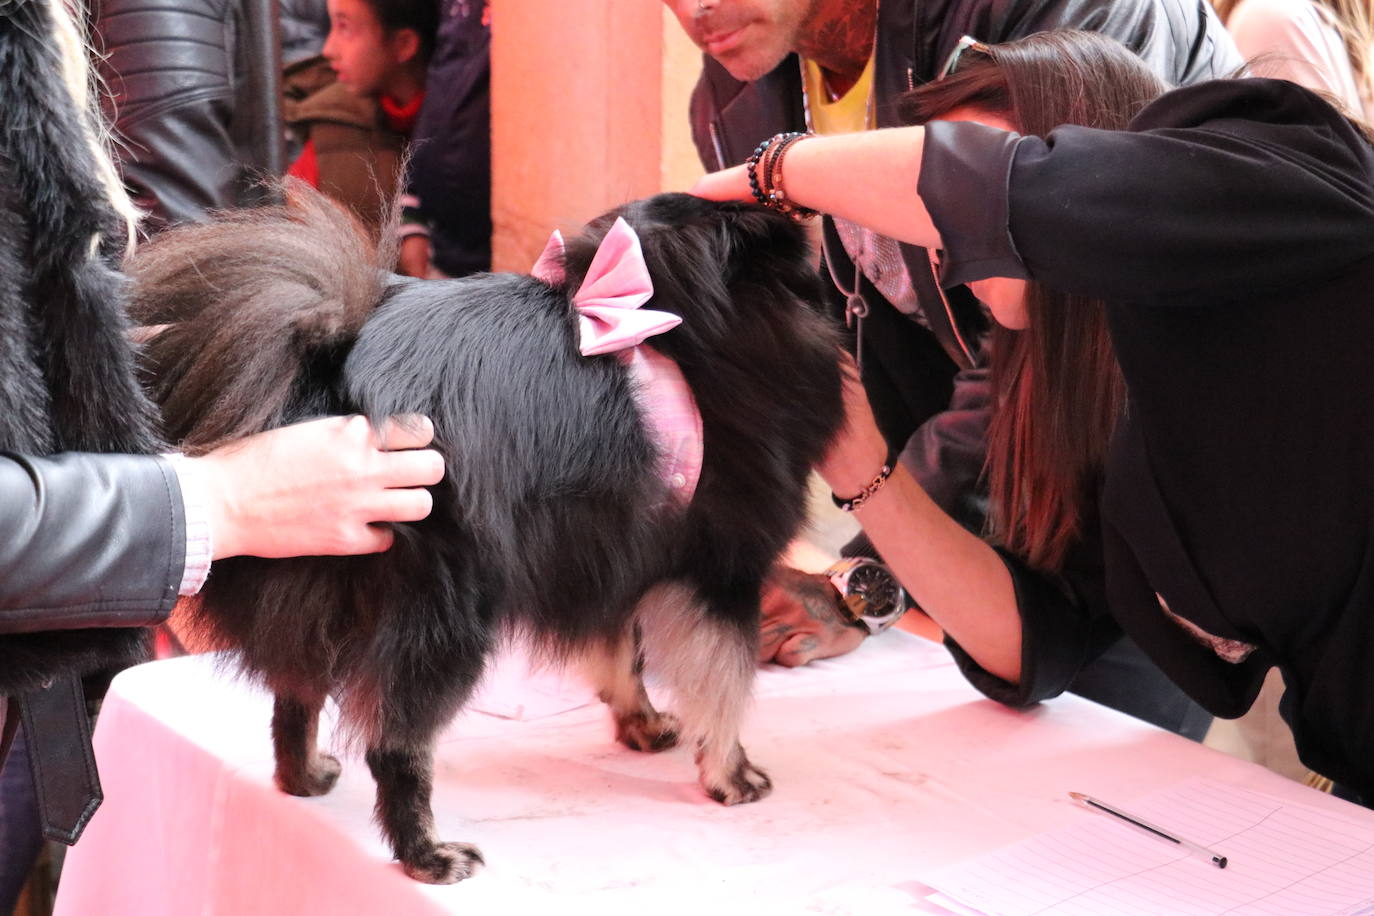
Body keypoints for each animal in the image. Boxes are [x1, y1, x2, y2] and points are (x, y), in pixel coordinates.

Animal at [131, 186, 835, 878]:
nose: (800, 212)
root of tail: (326, 379)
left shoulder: (606, 551)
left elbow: (621, 652)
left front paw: (642, 723)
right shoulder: (723, 572)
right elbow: (723, 687)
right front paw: (731, 775)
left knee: (294, 694)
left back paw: (303, 778)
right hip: (447, 617)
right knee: (394, 744)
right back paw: (428, 855)